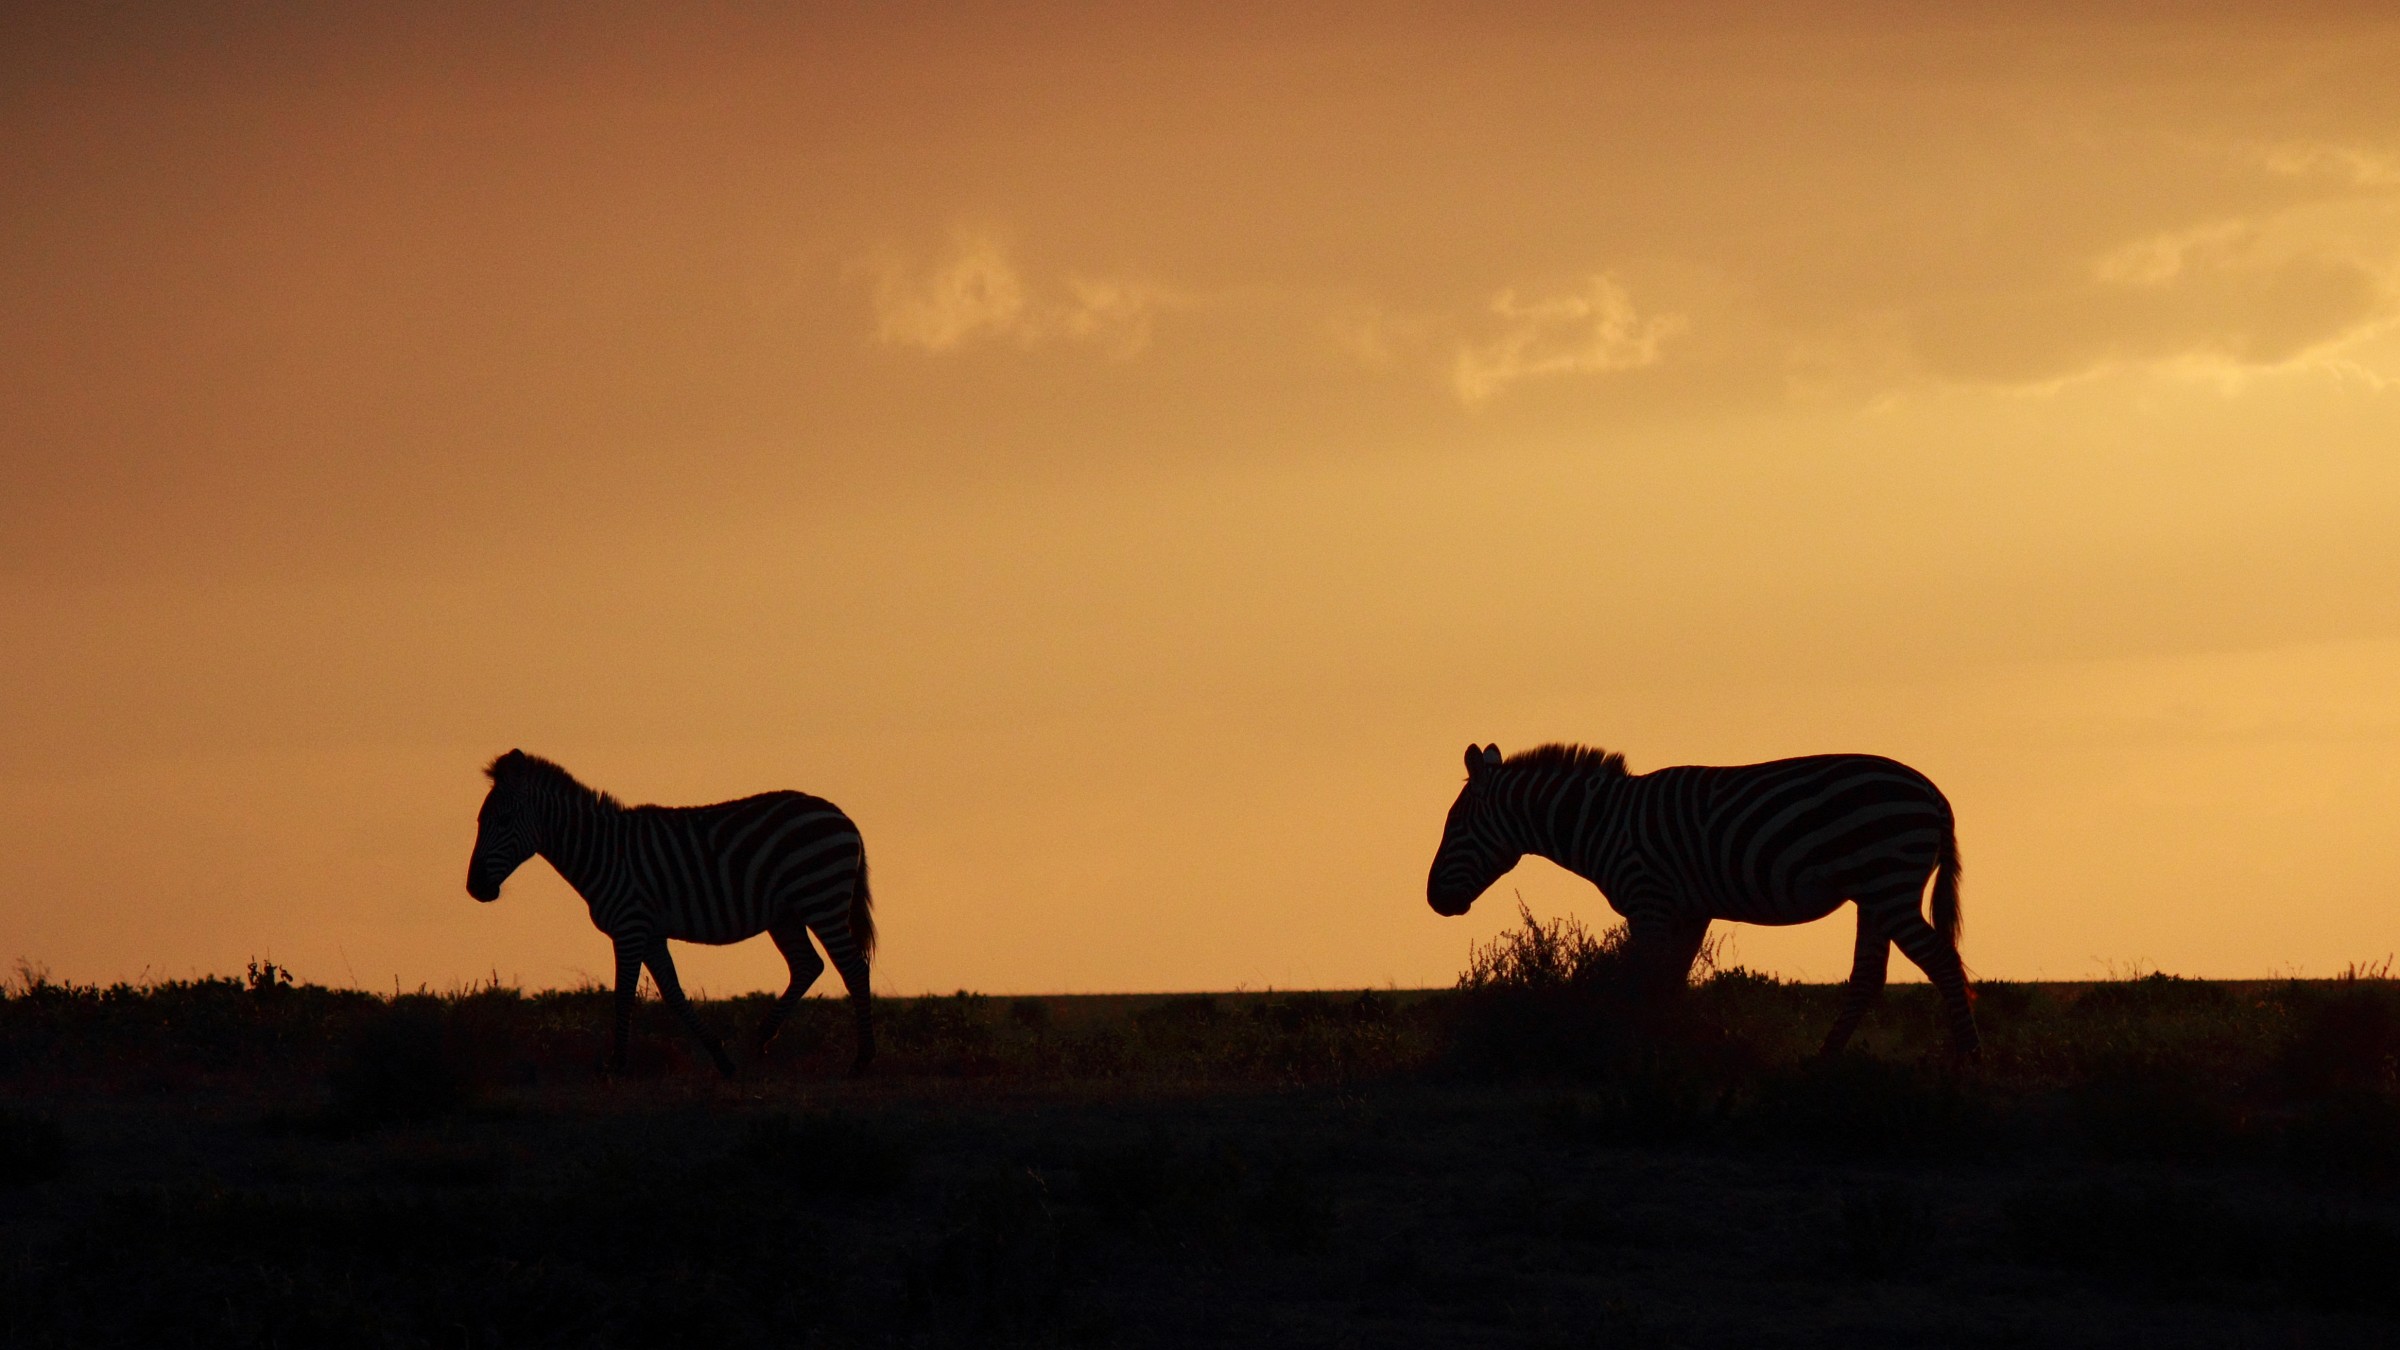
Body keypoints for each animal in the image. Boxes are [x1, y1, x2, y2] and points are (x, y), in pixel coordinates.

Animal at [463, 749, 878, 1076]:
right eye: (480, 821)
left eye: (502, 821)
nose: (475, 888)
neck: (604, 853)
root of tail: (841, 815)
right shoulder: (650, 933)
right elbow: (673, 993)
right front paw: (721, 1059)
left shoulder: (630, 926)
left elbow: (624, 994)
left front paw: (617, 1065)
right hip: (786, 915)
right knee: (808, 965)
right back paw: (759, 1042)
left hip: (821, 899)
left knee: (853, 969)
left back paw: (862, 1062)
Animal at [1420, 739, 1968, 1056]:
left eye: (1455, 825)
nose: (1432, 900)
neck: (1602, 823)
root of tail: (1933, 793)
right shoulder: (1689, 909)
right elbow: (1670, 984)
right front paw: (1670, 1050)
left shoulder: (1650, 902)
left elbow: (1642, 984)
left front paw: (1639, 1054)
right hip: (1874, 893)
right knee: (1869, 977)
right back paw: (1824, 1063)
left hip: (1887, 882)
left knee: (1942, 961)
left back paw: (1967, 1063)